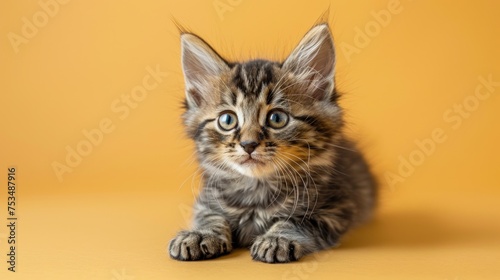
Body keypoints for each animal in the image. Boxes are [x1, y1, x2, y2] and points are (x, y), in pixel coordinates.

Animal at [168, 23, 376, 262]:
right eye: (227, 120)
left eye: (276, 118)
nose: (248, 144)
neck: (256, 192)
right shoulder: (206, 201)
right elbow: (210, 216)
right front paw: (200, 234)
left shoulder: (336, 208)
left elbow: (296, 221)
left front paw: (278, 239)